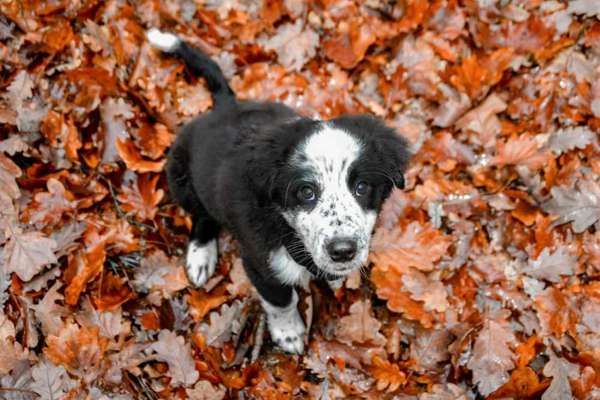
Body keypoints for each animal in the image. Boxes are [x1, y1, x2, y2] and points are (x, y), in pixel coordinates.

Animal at [146, 28, 412, 354]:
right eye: (306, 192)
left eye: (362, 187)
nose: (343, 251)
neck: (287, 229)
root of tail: (225, 106)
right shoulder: (261, 265)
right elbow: (282, 301)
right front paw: (289, 333)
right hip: (180, 177)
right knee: (201, 215)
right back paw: (201, 254)